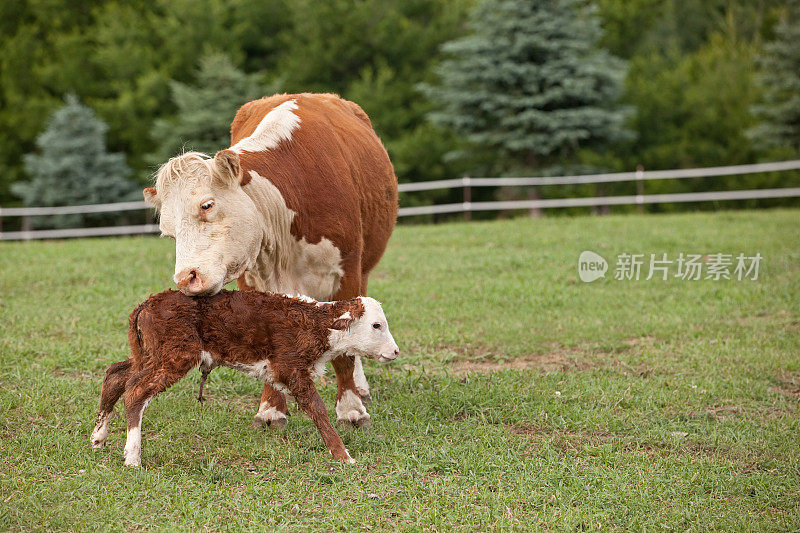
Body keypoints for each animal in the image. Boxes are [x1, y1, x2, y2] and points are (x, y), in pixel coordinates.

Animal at [90, 286, 400, 466]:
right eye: (376, 325)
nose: (395, 351)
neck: (317, 324)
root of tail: (146, 305)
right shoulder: (291, 368)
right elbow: (317, 409)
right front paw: (343, 455)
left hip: (149, 353)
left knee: (116, 374)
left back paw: (98, 438)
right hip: (176, 355)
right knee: (135, 390)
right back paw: (132, 456)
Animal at [143, 93, 396, 430]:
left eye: (207, 205)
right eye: (168, 232)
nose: (187, 278)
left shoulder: (347, 273)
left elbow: (347, 349)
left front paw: (351, 409)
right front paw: (271, 409)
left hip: (364, 267)